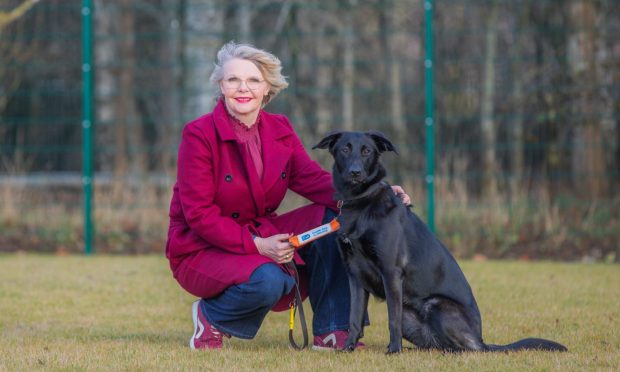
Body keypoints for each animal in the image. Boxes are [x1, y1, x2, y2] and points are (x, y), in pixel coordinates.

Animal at [314, 132, 568, 354]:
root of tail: (481, 338)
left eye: (367, 151)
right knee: (439, 344)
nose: (355, 173)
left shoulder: (391, 272)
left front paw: (394, 351)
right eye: (345, 149)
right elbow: (354, 318)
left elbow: (391, 319)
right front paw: (348, 348)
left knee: (471, 349)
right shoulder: (355, 276)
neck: (360, 202)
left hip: (436, 305)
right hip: (411, 317)